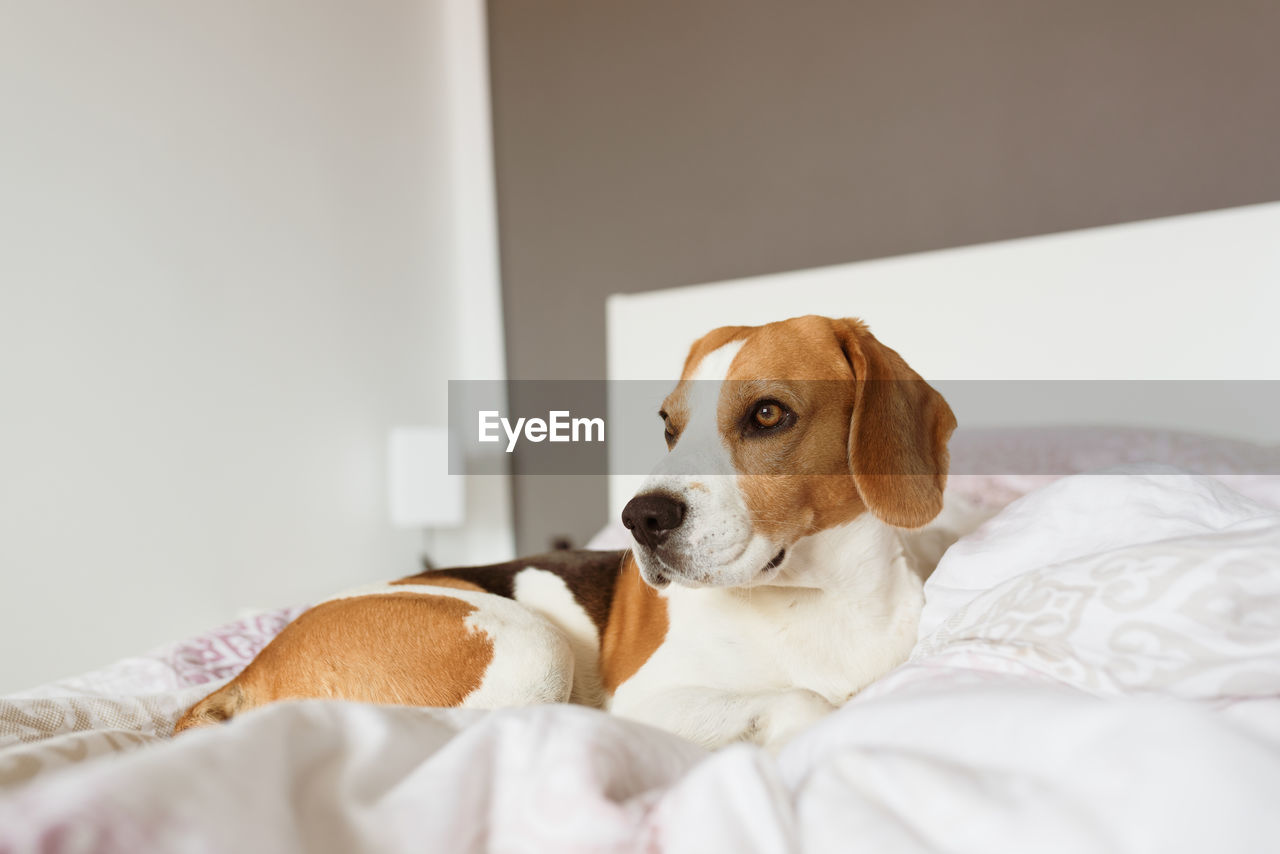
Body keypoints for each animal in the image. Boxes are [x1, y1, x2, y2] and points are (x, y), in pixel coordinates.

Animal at [175, 313, 962, 747]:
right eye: (669, 426)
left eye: (768, 414)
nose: (641, 518)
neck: (816, 598)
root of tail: (254, 666)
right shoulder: (649, 700)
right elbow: (802, 700)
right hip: (528, 645)